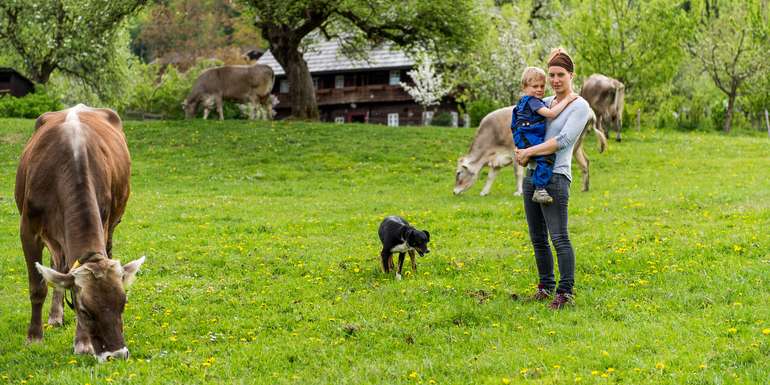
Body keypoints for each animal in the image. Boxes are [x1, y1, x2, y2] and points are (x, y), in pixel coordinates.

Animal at [14, 103, 144, 360]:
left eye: (123, 304)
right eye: (85, 310)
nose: (117, 354)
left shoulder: (104, 221)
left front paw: (82, 343)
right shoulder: (28, 230)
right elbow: (38, 286)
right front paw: (34, 337)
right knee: (57, 267)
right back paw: (55, 317)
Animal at [452, 105, 604, 195]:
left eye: (458, 173)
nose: (454, 192)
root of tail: (590, 110)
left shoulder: (514, 152)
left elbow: (517, 173)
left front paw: (518, 192)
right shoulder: (497, 159)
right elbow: (491, 176)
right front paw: (484, 192)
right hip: (577, 145)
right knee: (585, 163)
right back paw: (584, 188)